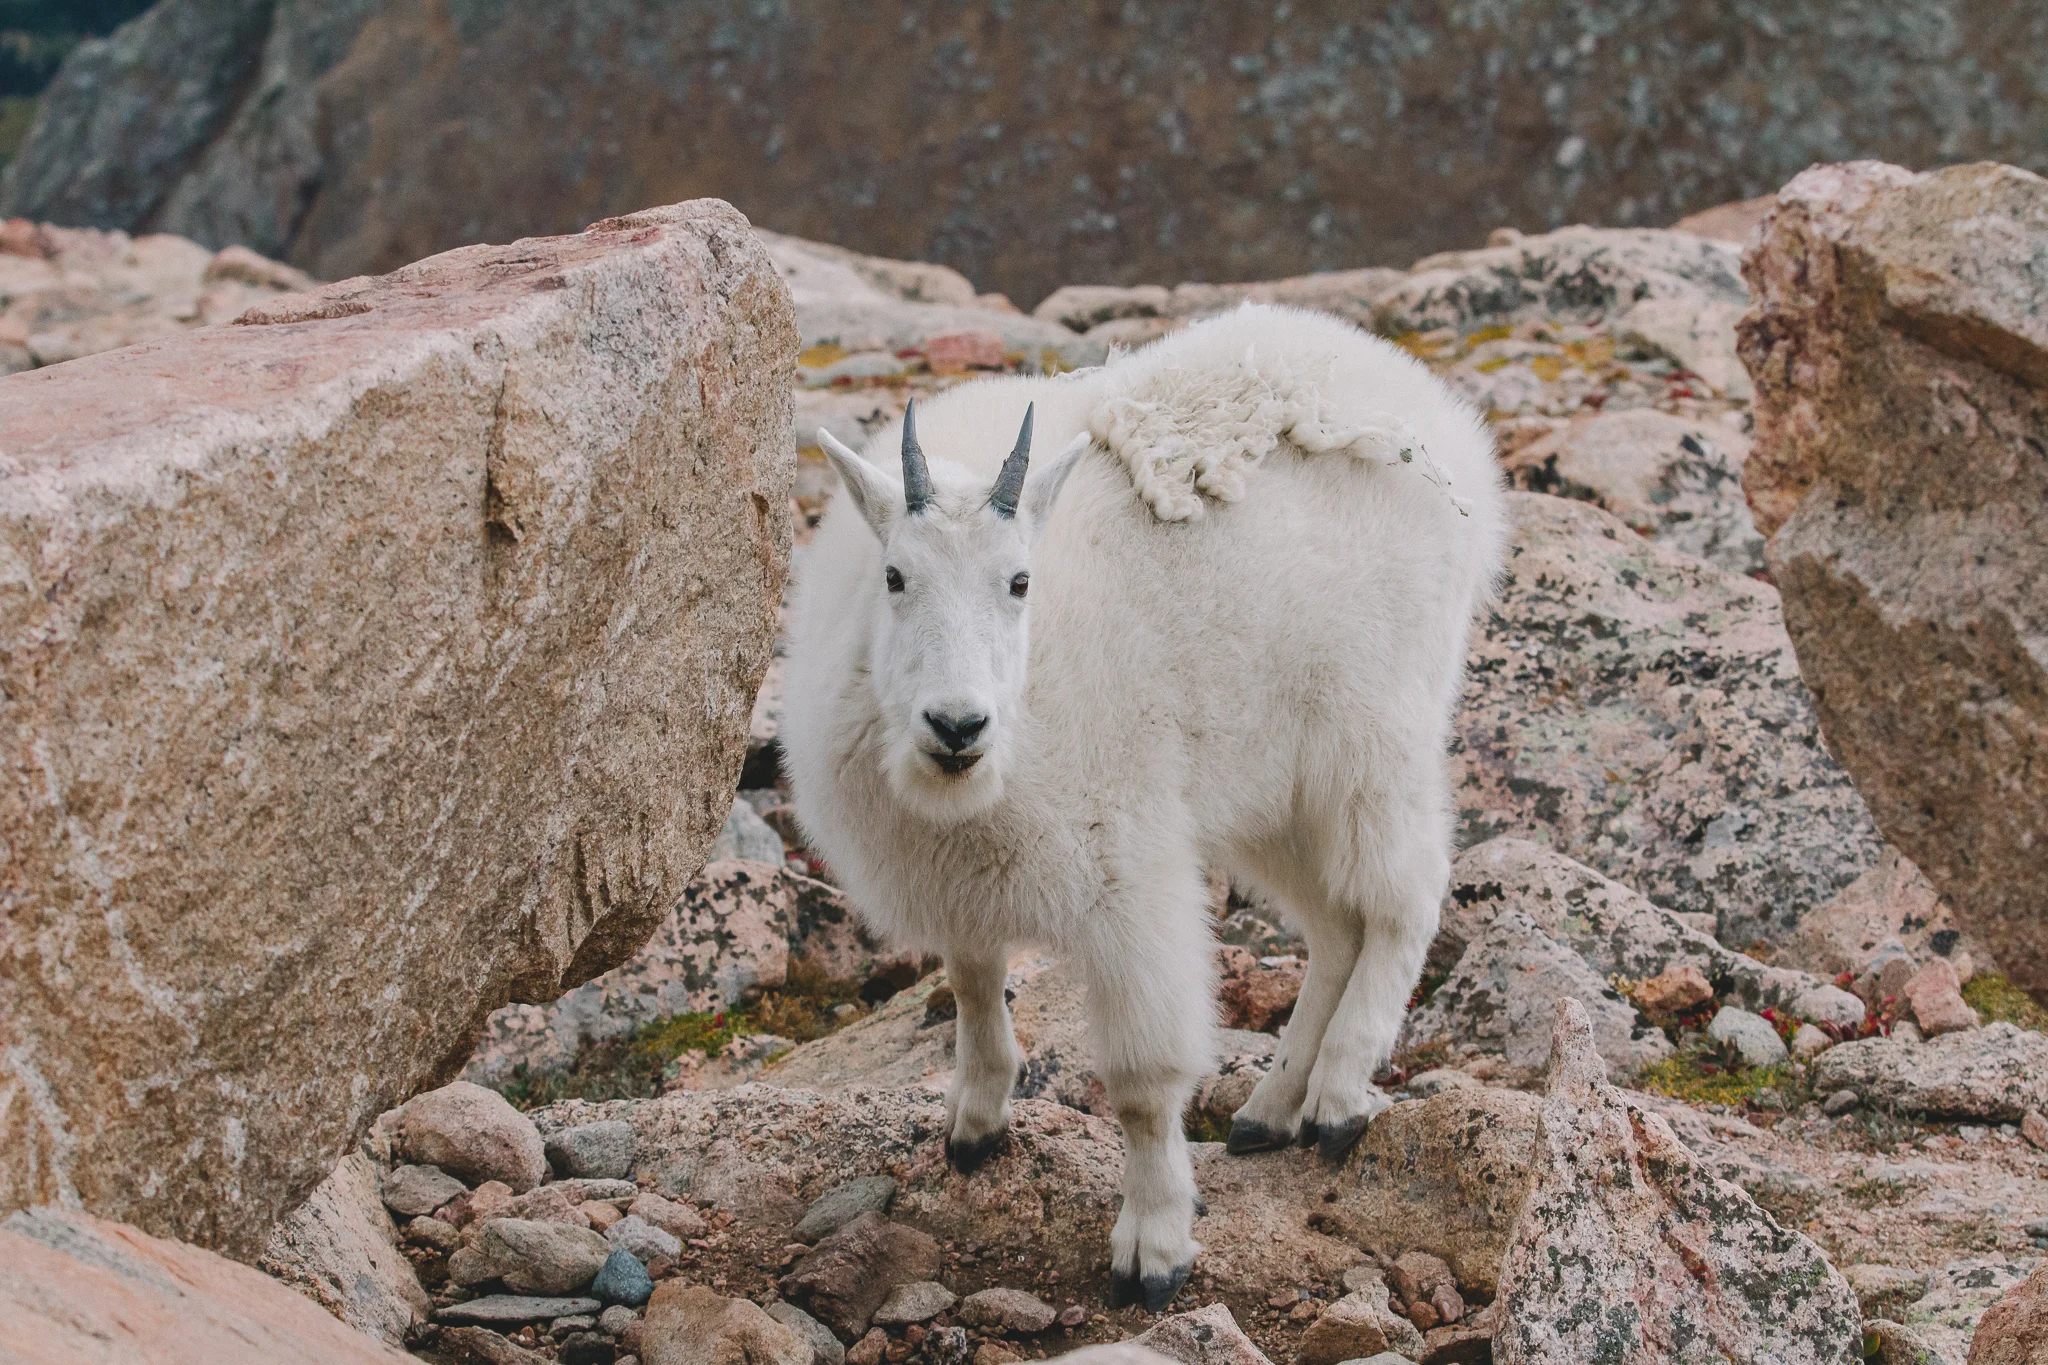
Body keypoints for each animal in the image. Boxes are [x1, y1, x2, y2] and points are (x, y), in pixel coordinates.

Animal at [781, 304, 1507, 1309]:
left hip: (1374, 739)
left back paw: (1335, 1097)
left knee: (1406, 897)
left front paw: (1152, 1245)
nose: (957, 725)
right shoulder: (962, 873)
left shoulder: (1125, 867)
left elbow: (1140, 1076)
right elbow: (971, 982)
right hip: (1274, 794)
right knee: (1336, 927)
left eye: (1020, 581)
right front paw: (974, 1125)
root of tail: (1445, 425)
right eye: (894, 577)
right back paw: (1269, 1109)